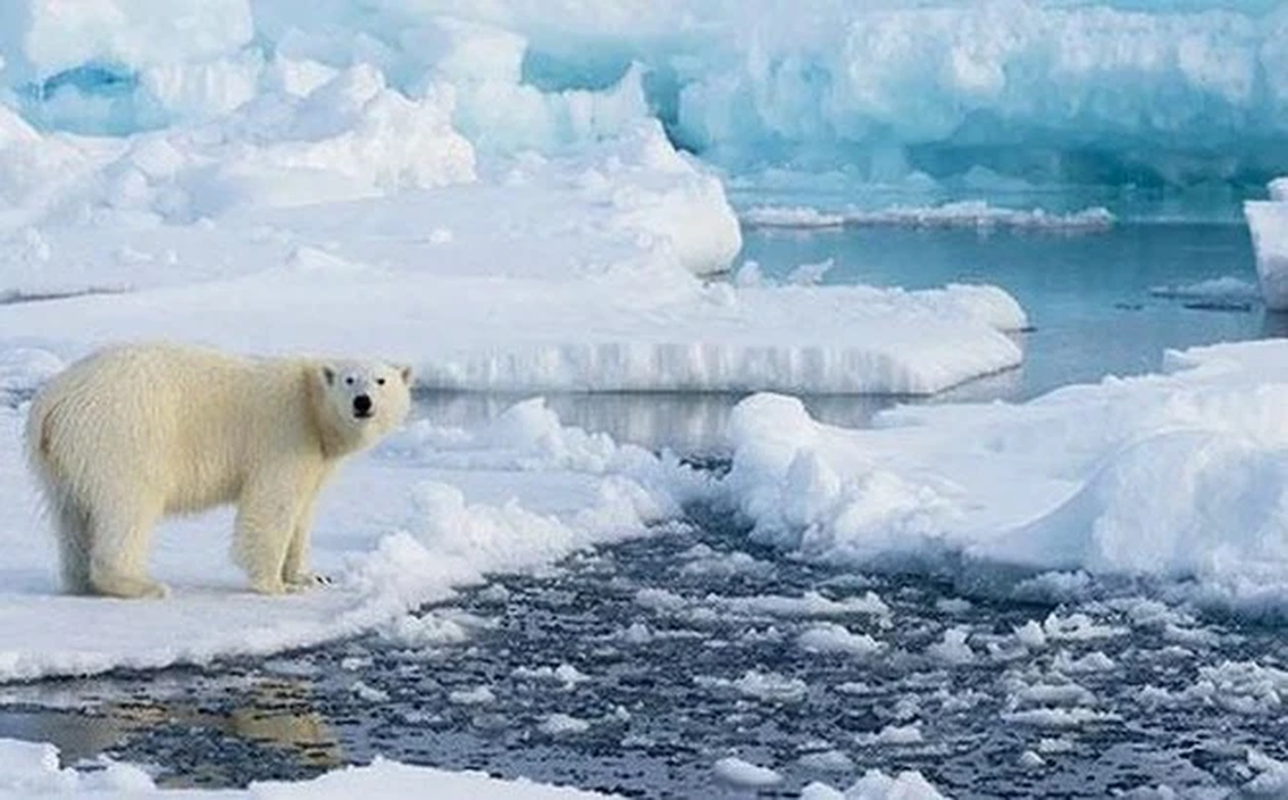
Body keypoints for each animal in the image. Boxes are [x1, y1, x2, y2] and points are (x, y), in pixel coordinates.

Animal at [26, 342, 412, 597]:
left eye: (381, 381)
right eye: (350, 380)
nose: (363, 402)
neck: (311, 407)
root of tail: (53, 400)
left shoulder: (316, 457)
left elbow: (302, 513)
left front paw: (309, 577)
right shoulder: (284, 435)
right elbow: (271, 507)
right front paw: (275, 585)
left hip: (61, 459)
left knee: (71, 513)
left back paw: (79, 581)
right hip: (123, 434)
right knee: (128, 505)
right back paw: (142, 585)